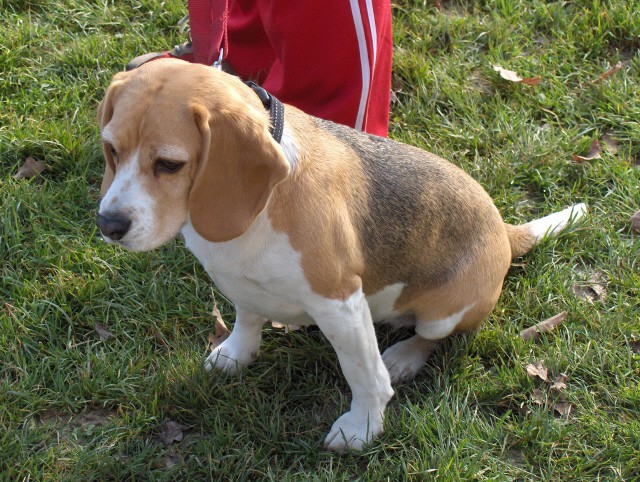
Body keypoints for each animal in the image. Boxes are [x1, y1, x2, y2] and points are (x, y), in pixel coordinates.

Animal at [96, 58, 584, 450]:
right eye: (112, 150)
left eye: (169, 165)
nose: (108, 225)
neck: (261, 206)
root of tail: (504, 230)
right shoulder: (239, 281)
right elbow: (247, 317)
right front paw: (237, 352)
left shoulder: (340, 303)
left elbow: (363, 373)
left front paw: (361, 426)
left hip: (444, 312)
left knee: (432, 336)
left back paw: (404, 357)